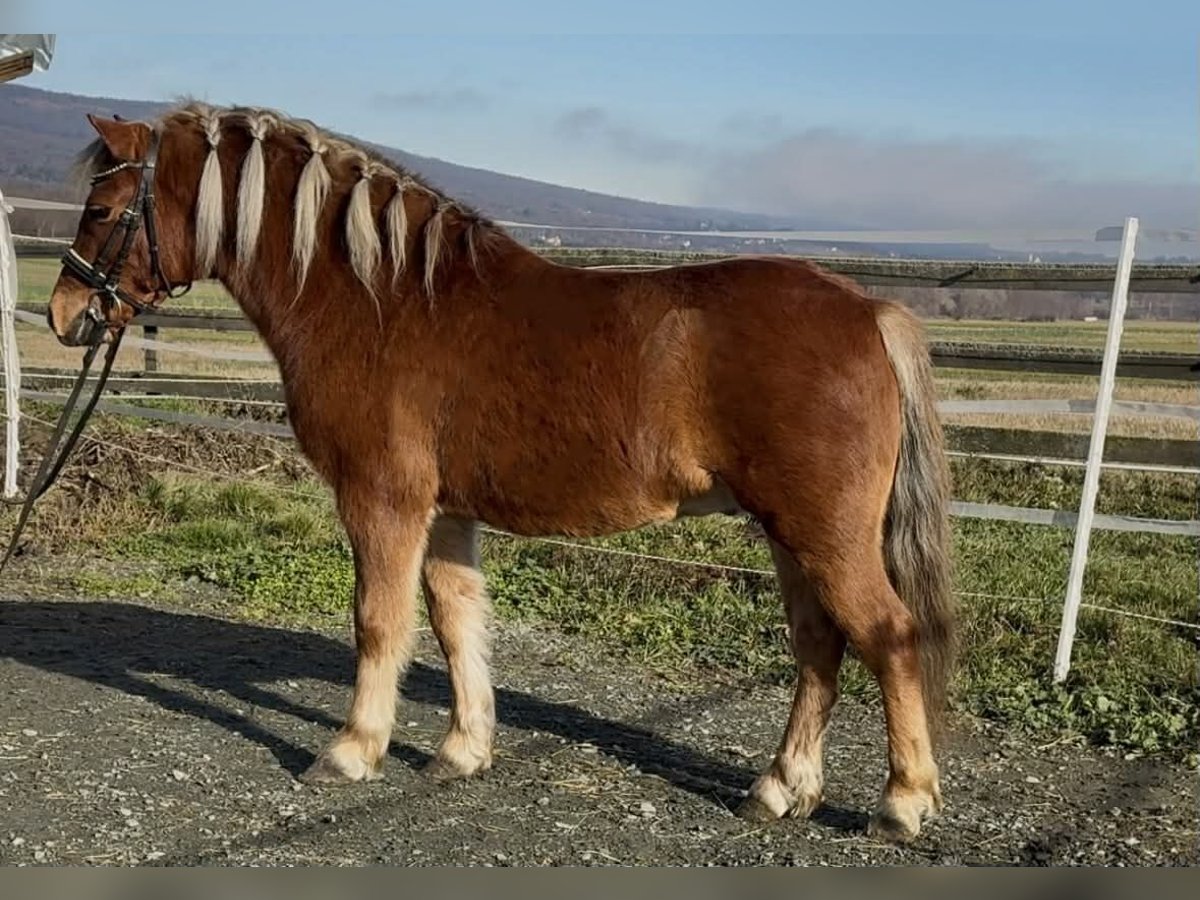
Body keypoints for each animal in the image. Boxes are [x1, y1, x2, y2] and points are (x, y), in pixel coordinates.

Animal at [46, 103, 955, 843]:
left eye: (100, 210)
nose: (64, 315)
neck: (380, 299)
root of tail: (868, 310)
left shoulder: (381, 500)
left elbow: (379, 622)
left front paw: (352, 751)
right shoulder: (447, 511)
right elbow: (457, 623)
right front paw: (462, 749)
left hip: (822, 531)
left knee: (887, 635)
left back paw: (902, 801)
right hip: (789, 532)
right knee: (818, 645)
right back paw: (779, 788)